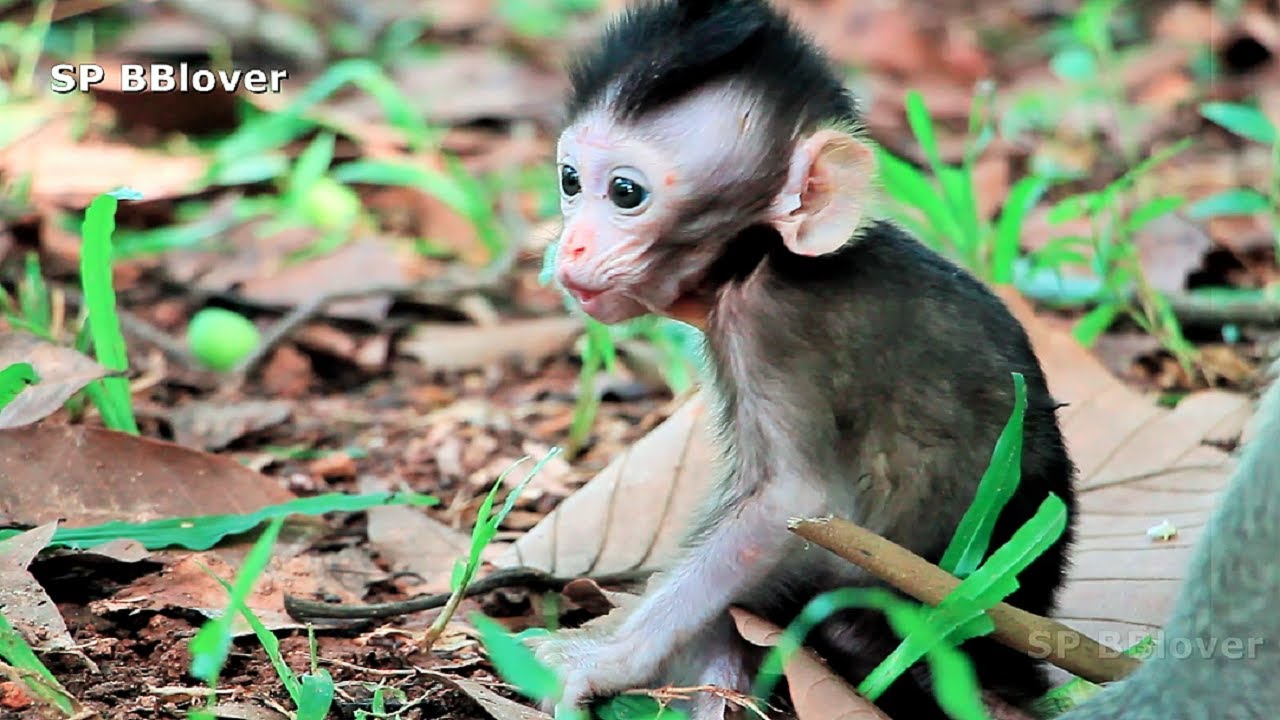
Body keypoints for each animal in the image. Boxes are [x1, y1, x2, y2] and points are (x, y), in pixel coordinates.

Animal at [530, 1, 1078, 719]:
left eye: (625, 192)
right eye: (569, 181)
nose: (571, 248)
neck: (759, 257)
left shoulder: (774, 333)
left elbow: (787, 505)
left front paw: (602, 659)